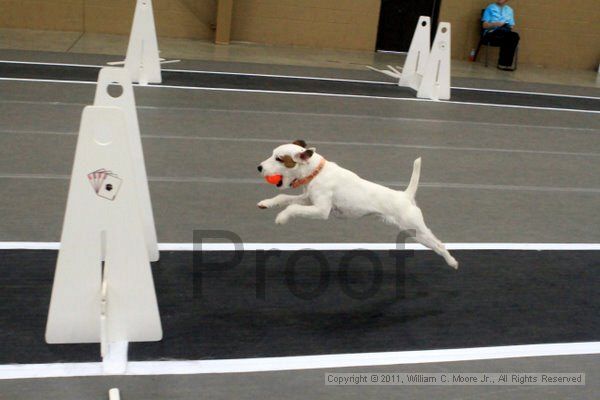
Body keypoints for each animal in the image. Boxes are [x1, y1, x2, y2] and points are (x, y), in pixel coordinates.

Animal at [258, 141, 460, 268]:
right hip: (416, 234)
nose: (259, 167)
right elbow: (283, 198)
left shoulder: (321, 210)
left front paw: (282, 217)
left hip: (416, 228)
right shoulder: (307, 199)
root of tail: (405, 196)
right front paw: (266, 203)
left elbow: (292, 208)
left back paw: (452, 262)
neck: (316, 172)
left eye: (279, 158)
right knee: (435, 245)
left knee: (440, 244)